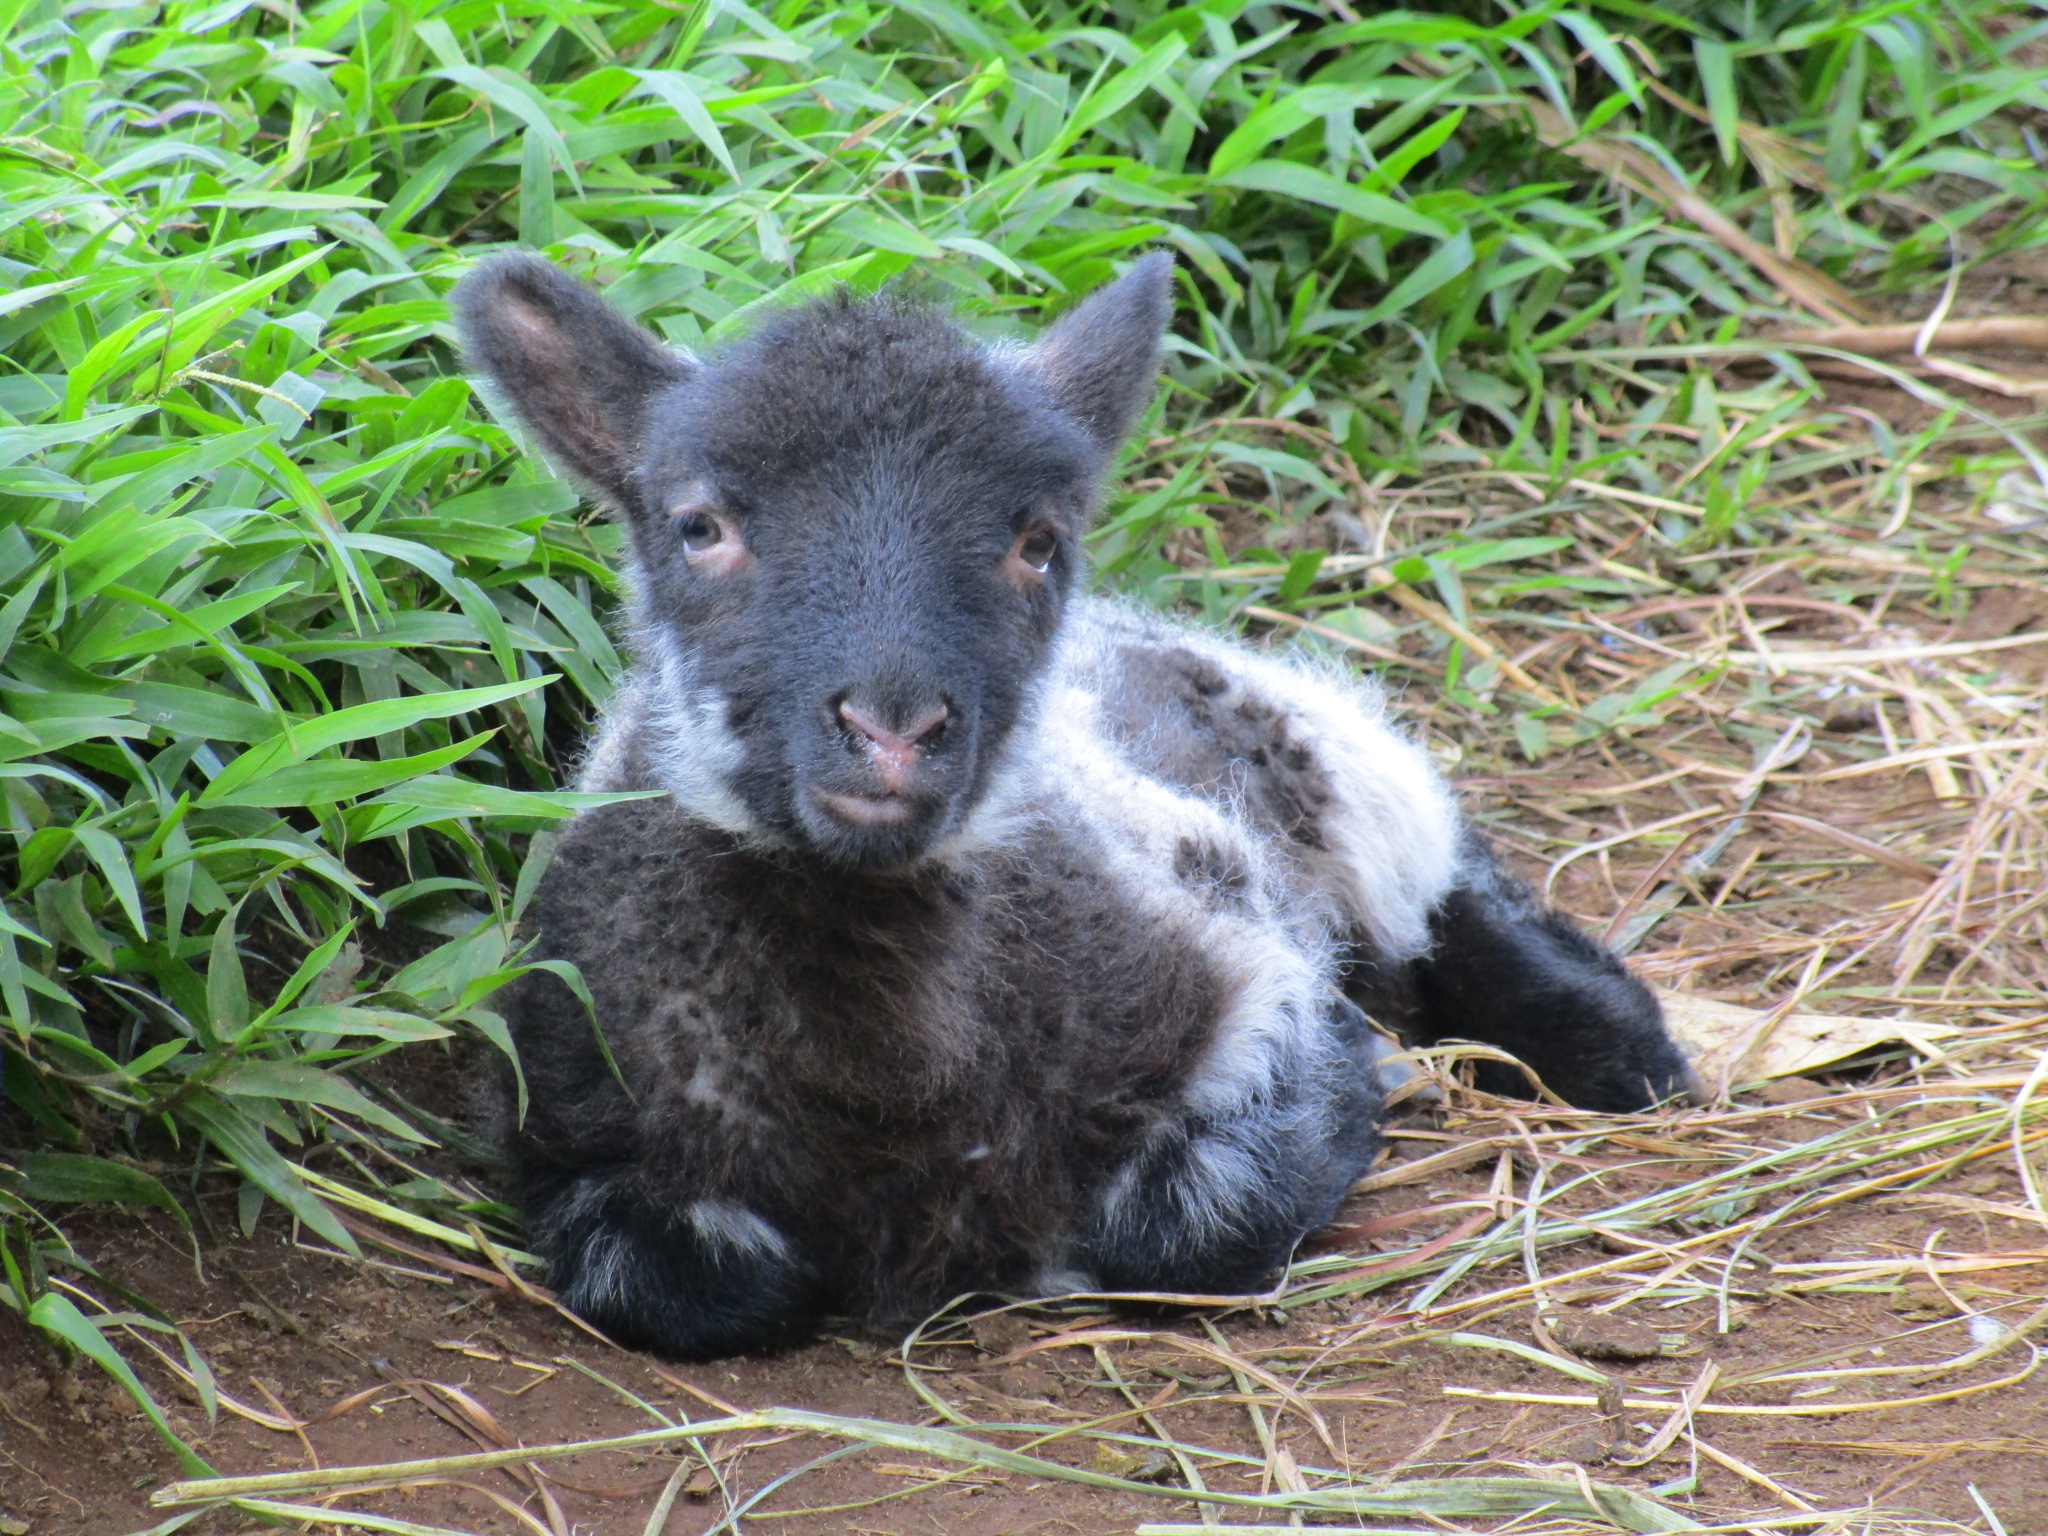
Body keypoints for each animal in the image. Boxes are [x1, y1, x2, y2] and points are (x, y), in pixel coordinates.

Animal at [456, 252, 1687, 1359]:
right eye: (698, 527)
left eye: (1038, 542)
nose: (894, 729)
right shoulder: (575, 1132)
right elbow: (692, 1290)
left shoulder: (1245, 971)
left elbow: (1186, 1229)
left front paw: (1359, 1081)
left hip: (1328, 751)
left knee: (1442, 885)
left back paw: (1619, 1050)